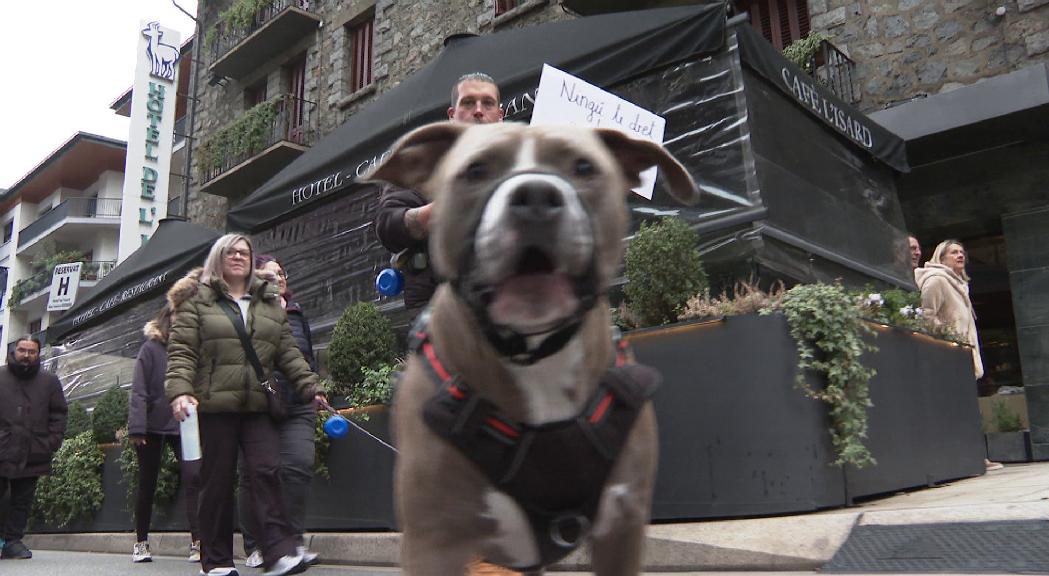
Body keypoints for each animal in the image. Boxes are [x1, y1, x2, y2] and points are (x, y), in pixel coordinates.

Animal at [369, 120, 696, 570]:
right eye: (476, 170)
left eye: (584, 166)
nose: (536, 197)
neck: (538, 360)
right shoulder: (432, 542)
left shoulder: (623, 525)